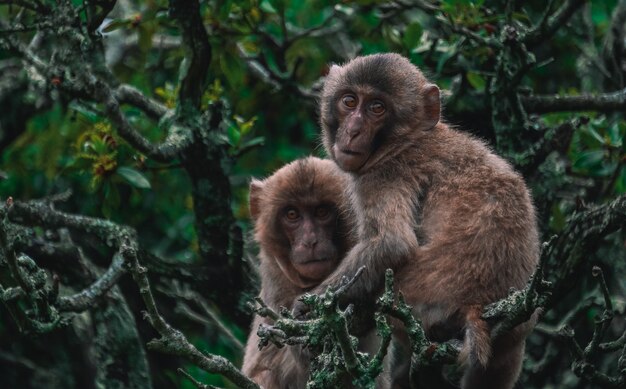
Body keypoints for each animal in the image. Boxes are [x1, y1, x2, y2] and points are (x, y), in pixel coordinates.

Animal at [298, 52, 536, 388]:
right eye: (349, 101)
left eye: (377, 108)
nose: (353, 130)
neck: (410, 139)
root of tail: (478, 303)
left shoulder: (383, 175)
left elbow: (391, 244)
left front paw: (305, 309)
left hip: (417, 300)